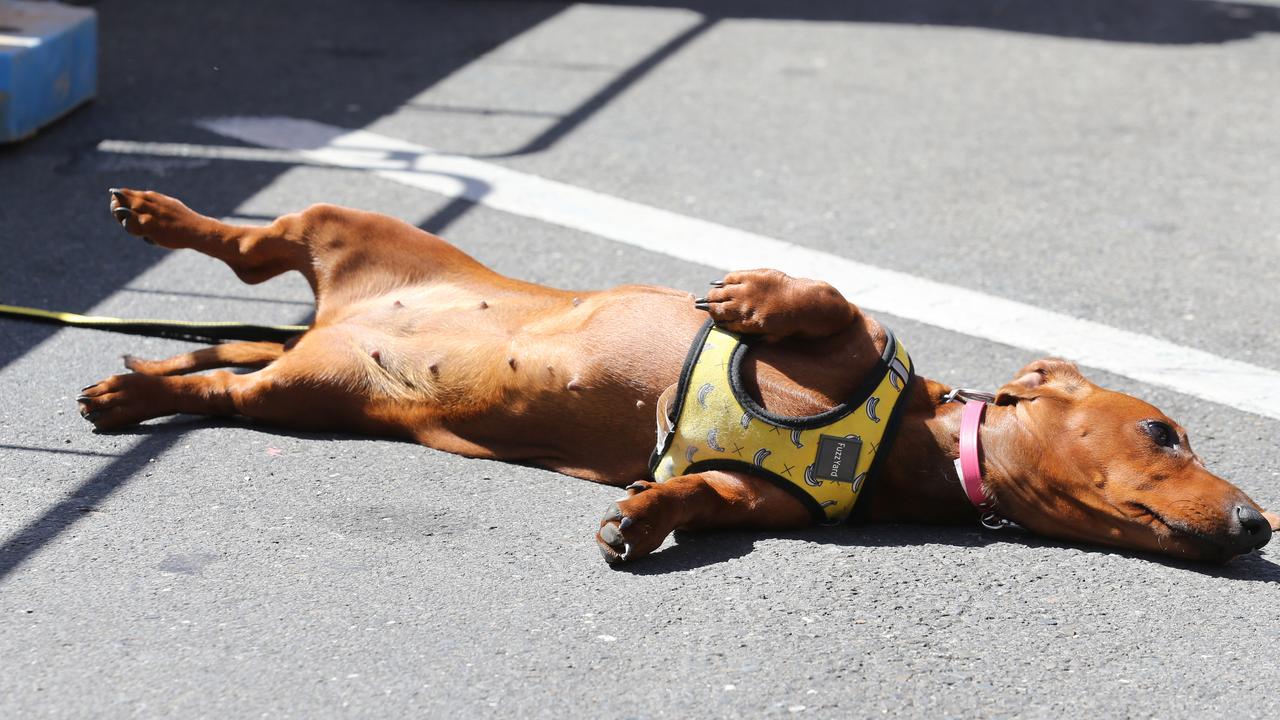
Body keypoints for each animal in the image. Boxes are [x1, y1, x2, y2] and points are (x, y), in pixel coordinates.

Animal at [77, 188, 1269, 563]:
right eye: (1164, 432)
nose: (1258, 526)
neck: (900, 444)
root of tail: (335, 317)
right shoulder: (848, 340)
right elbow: (833, 302)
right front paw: (749, 296)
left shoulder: (754, 494)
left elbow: (699, 493)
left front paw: (639, 518)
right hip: (341, 224)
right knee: (246, 243)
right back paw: (155, 218)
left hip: (302, 395)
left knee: (217, 380)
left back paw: (139, 383)